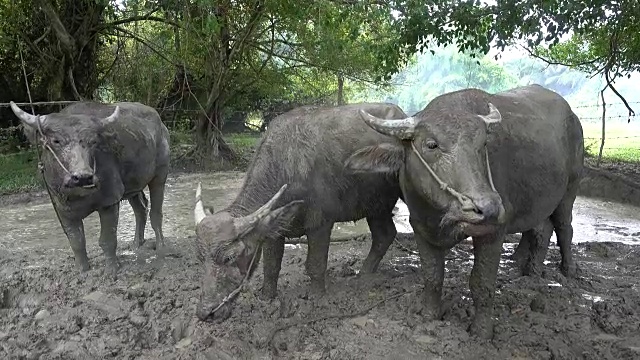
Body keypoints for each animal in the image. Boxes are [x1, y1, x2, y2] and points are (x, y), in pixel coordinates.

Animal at [10, 100, 170, 278]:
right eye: (56, 141)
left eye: (92, 142)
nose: (82, 177)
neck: (79, 194)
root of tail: (161, 125)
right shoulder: (61, 208)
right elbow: (76, 242)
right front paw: (82, 270)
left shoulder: (110, 201)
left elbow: (107, 240)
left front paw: (111, 270)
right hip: (132, 186)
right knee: (141, 209)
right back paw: (136, 244)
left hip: (160, 174)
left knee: (156, 213)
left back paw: (161, 247)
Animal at [192, 102, 408, 320]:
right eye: (200, 258)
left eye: (229, 258)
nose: (206, 312)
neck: (287, 167)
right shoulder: (273, 230)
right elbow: (271, 267)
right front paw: (266, 297)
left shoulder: (320, 223)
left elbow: (315, 264)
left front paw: (316, 296)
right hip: (376, 206)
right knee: (385, 235)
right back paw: (364, 272)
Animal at [344, 85, 584, 340]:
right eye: (431, 144)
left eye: (483, 146)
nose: (488, 208)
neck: (442, 213)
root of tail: (573, 118)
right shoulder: (420, 226)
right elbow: (432, 276)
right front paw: (429, 315)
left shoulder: (493, 231)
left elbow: (482, 283)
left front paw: (481, 330)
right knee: (541, 230)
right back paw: (530, 269)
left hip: (570, 190)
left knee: (564, 228)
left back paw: (568, 269)